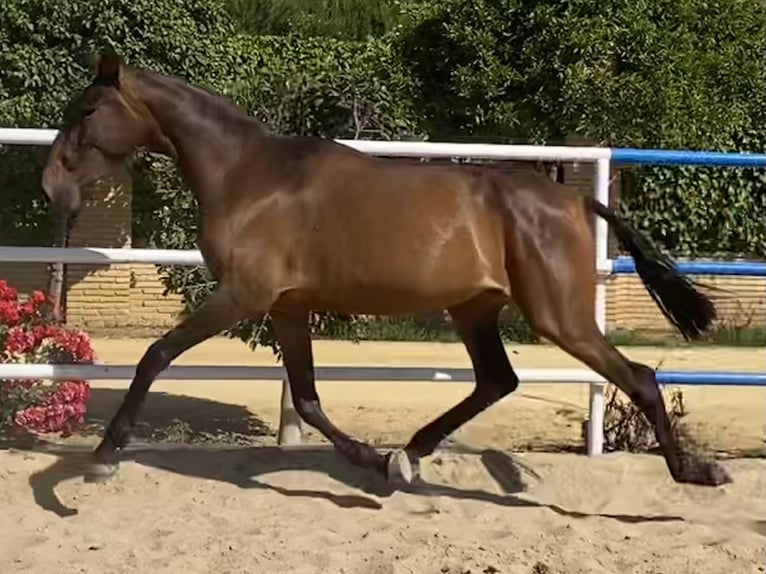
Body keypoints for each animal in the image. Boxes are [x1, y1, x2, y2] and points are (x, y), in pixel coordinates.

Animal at [40, 53, 732, 490]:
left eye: (87, 110)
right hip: (474, 308)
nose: (51, 186)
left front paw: (103, 455)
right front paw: (372, 461)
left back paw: (697, 472)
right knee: (497, 381)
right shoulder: (286, 305)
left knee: (638, 378)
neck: (248, 176)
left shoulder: (243, 295)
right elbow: (309, 398)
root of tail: (574, 200)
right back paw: (408, 455)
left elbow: (155, 355)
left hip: (558, 316)